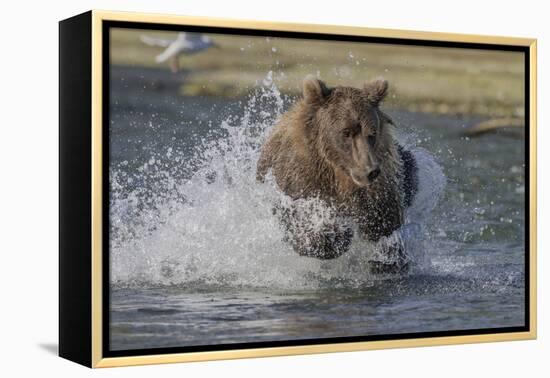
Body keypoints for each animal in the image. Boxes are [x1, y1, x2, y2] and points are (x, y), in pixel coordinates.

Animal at [256, 77, 420, 272]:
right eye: (346, 132)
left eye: (372, 133)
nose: (370, 170)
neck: (338, 175)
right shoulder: (301, 178)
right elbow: (298, 217)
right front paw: (336, 235)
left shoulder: (381, 185)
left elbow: (384, 222)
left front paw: (386, 258)